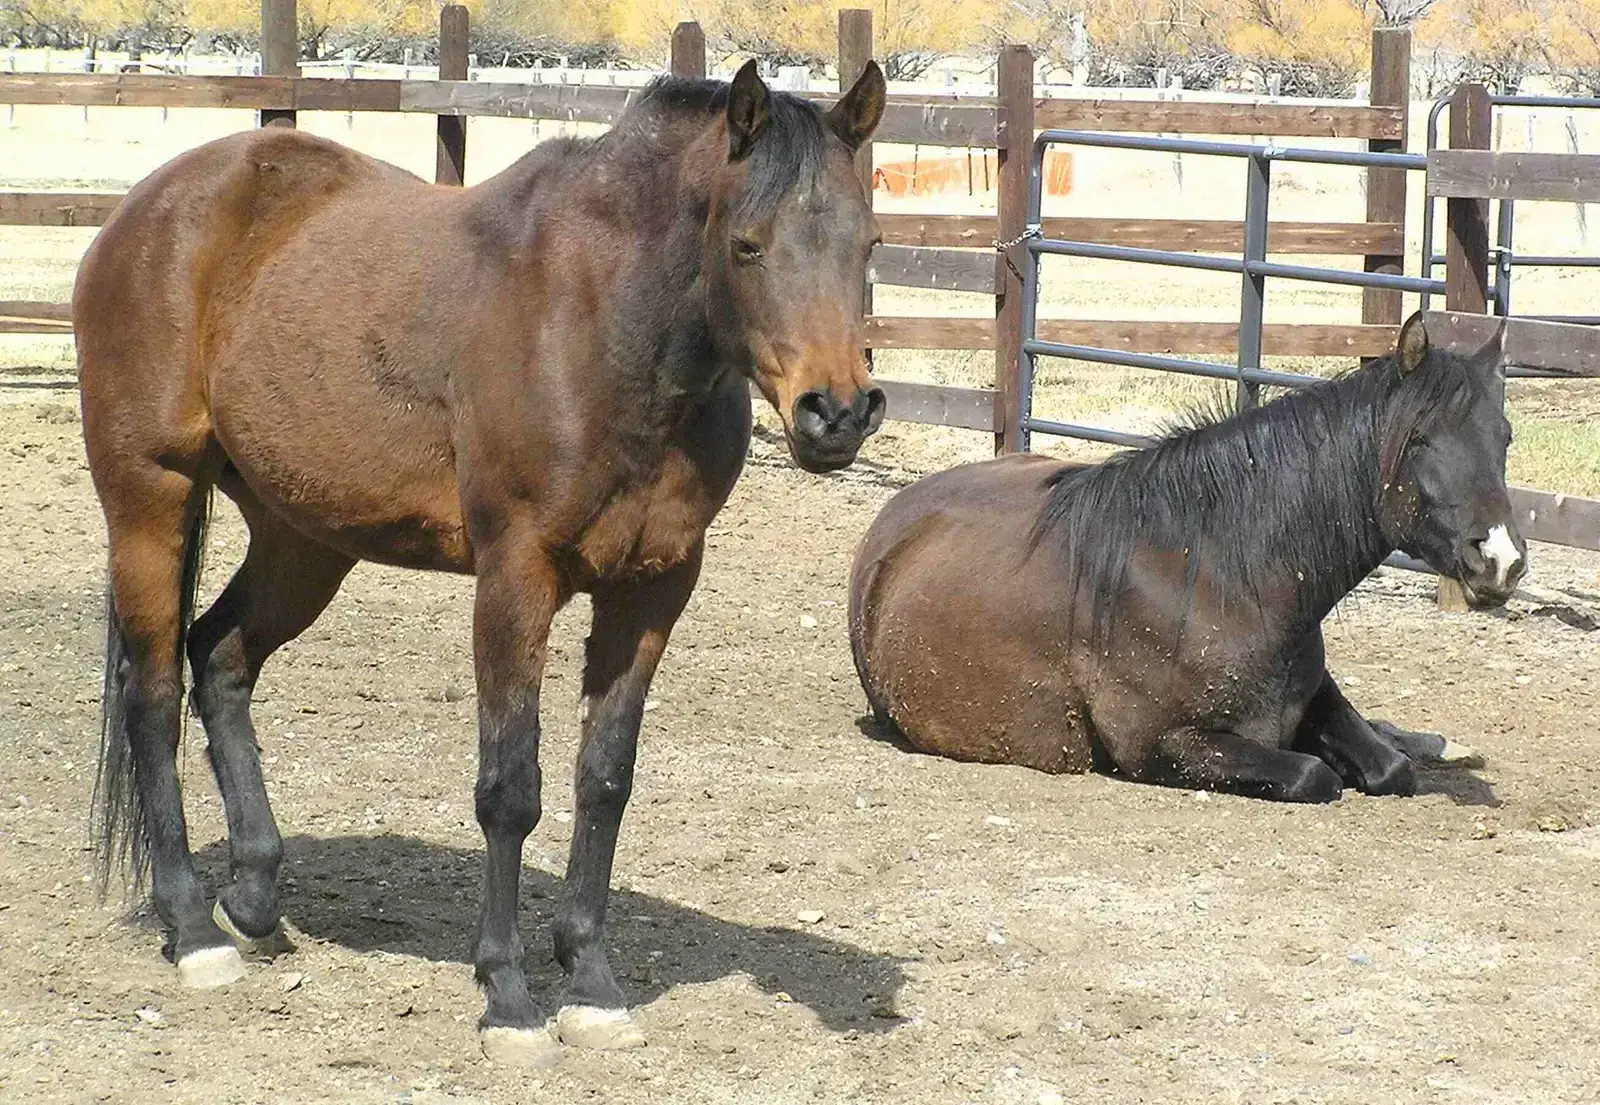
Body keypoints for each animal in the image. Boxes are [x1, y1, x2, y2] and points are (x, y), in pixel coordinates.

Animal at [77, 60, 887, 1064]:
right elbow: (511, 788)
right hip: (150, 496)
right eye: (747, 244)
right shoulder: (516, 576)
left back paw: (255, 894)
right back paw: (192, 928)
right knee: (149, 693)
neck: (606, 322)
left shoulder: (655, 587)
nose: (837, 412)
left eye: (869, 243)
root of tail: (144, 209)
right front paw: (508, 992)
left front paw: (592, 981)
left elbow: (604, 778)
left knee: (219, 658)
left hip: (302, 538)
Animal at [849, 313, 1525, 803]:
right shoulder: (1162, 745)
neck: (1216, 575)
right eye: (1419, 439)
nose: (1502, 560)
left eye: (1505, 437)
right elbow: (1315, 775)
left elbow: (1391, 768)